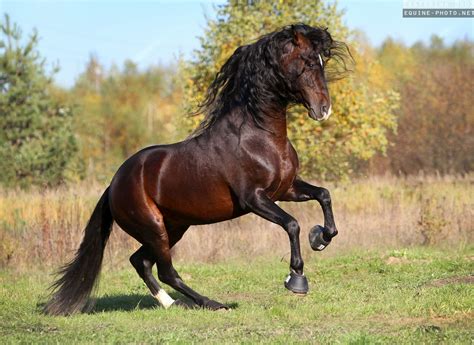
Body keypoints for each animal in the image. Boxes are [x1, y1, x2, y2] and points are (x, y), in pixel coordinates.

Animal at [44, 23, 352, 314]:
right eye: (308, 63)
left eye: (322, 61)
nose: (324, 109)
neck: (259, 137)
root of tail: (113, 185)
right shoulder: (254, 199)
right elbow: (291, 223)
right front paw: (296, 279)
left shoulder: (285, 189)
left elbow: (323, 194)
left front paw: (321, 237)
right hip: (154, 228)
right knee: (165, 270)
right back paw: (213, 304)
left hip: (174, 226)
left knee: (141, 261)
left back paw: (172, 304)